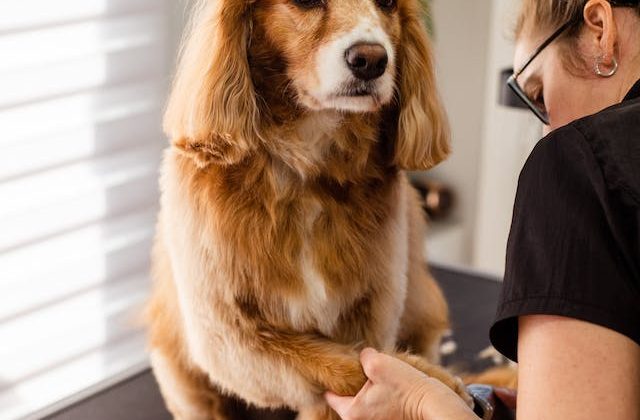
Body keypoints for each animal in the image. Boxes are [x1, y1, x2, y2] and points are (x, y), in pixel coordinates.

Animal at [148, 0, 470, 418]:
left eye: (387, 4)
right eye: (305, 2)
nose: (371, 60)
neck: (305, 169)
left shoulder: (373, 309)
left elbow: (361, 358)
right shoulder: (229, 336)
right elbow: (341, 363)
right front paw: (429, 385)